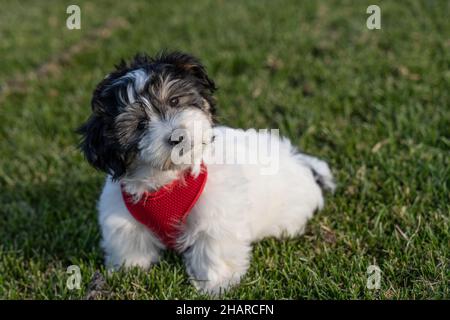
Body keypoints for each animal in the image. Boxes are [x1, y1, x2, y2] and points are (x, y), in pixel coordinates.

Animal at [79, 52, 336, 296]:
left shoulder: (217, 213)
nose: (177, 136)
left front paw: (217, 286)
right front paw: (130, 271)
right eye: (140, 125)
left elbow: (213, 246)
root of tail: (302, 163)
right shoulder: (123, 212)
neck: (169, 179)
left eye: (174, 100)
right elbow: (130, 243)